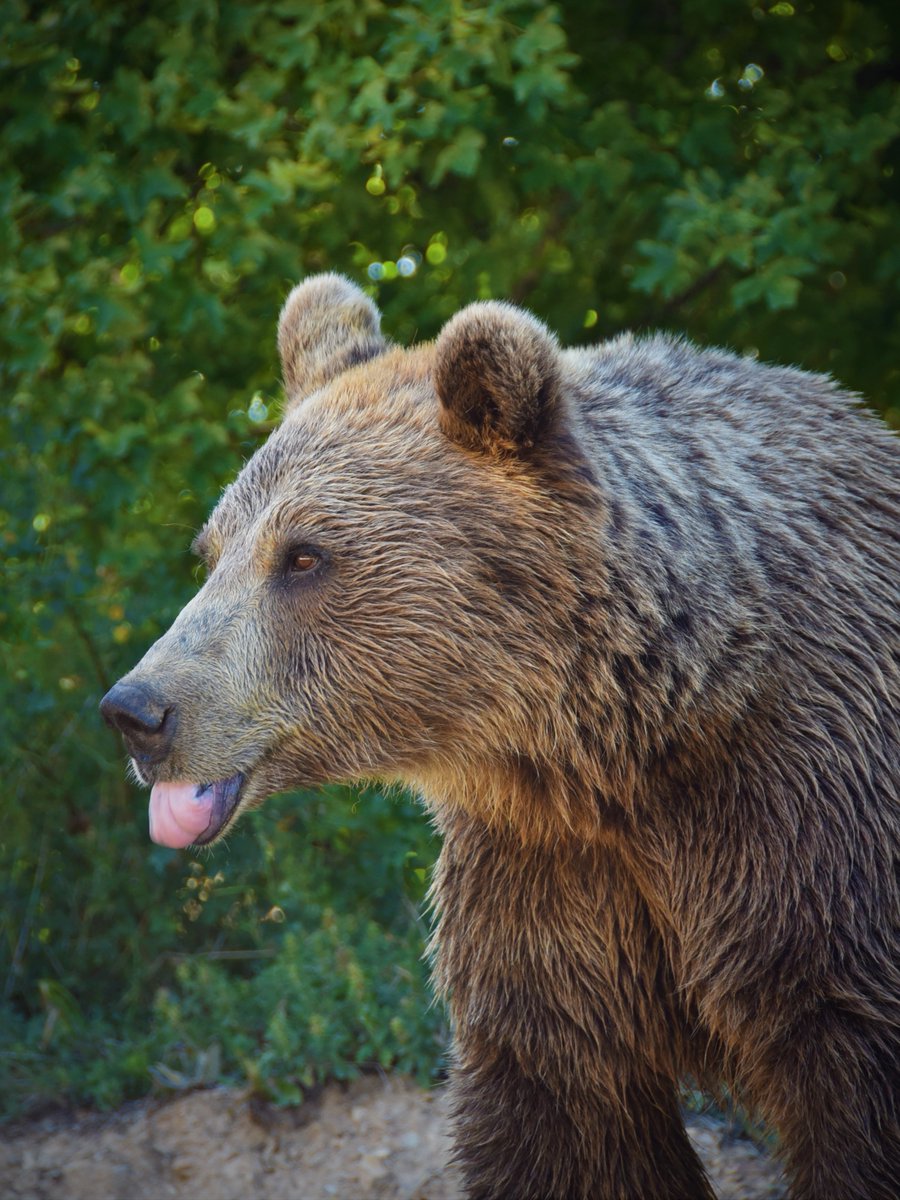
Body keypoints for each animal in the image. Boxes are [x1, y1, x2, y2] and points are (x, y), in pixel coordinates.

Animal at [101, 273, 900, 1200]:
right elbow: (563, 1113)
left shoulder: (807, 838)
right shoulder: (545, 882)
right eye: (213, 550)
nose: (138, 710)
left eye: (303, 556)